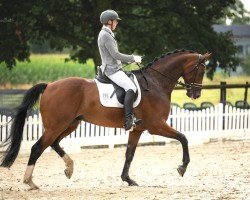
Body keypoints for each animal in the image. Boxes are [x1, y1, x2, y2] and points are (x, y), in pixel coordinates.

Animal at [0, 49, 211, 189]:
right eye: (201, 71)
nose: (196, 94)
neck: (155, 83)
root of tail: (50, 85)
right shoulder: (156, 126)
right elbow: (183, 138)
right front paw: (182, 167)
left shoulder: (137, 130)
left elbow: (129, 154)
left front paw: (128, 179)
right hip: (57, 125)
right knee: (38, 147)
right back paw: (30, 182)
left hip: (70, 124)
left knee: (54, 144)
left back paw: (69, 168)